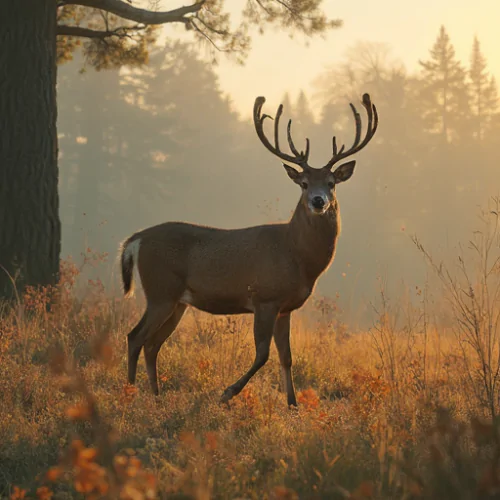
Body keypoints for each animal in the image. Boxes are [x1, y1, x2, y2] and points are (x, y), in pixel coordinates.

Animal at [121, 93, 376, 406]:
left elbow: (287, 357)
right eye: (304, 184)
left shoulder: (285, 307)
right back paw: (130, 394)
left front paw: (293, 405)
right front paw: (227, 393)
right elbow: (263, 354)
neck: (296, 255)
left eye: (331, 183)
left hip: (177, 301)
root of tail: (136, 239)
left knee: (152, 344)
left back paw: (156, 397)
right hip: (160, 291)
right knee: (135, 337)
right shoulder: (264, 297)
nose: (318, 201)